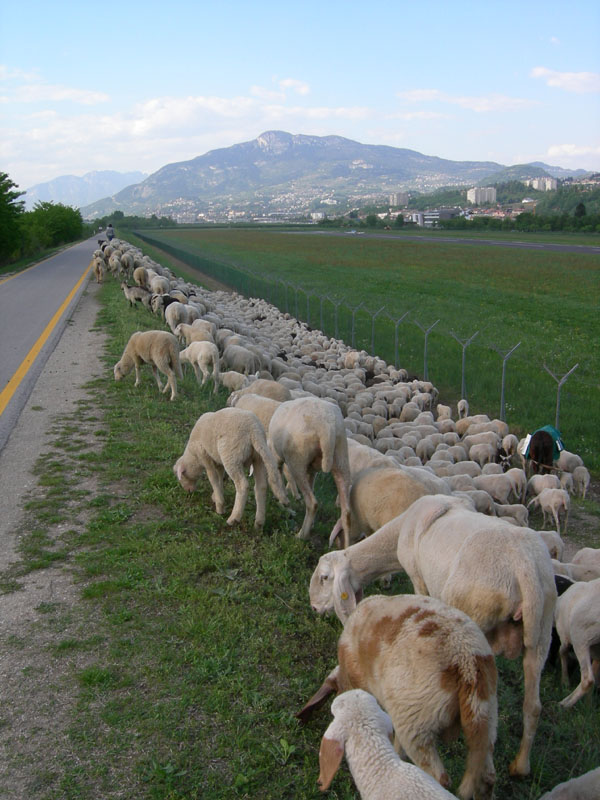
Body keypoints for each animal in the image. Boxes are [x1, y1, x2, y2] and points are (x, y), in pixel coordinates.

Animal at [268, 398, 352, 548]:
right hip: (341, 457)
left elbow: (277, 479)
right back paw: (347, 548)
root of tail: (327, 428)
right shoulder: (312, 470)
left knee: (312, 503)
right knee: (346, 513)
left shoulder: (276, 456)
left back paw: (301, 535)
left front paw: (281, 502)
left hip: (297, 459)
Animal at [552, 576, 600, 708]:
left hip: (581, 636)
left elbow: (562, 651)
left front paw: (565, 682)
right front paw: (588, 703)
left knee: (588, 679)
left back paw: (564, 704)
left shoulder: (564, 634)